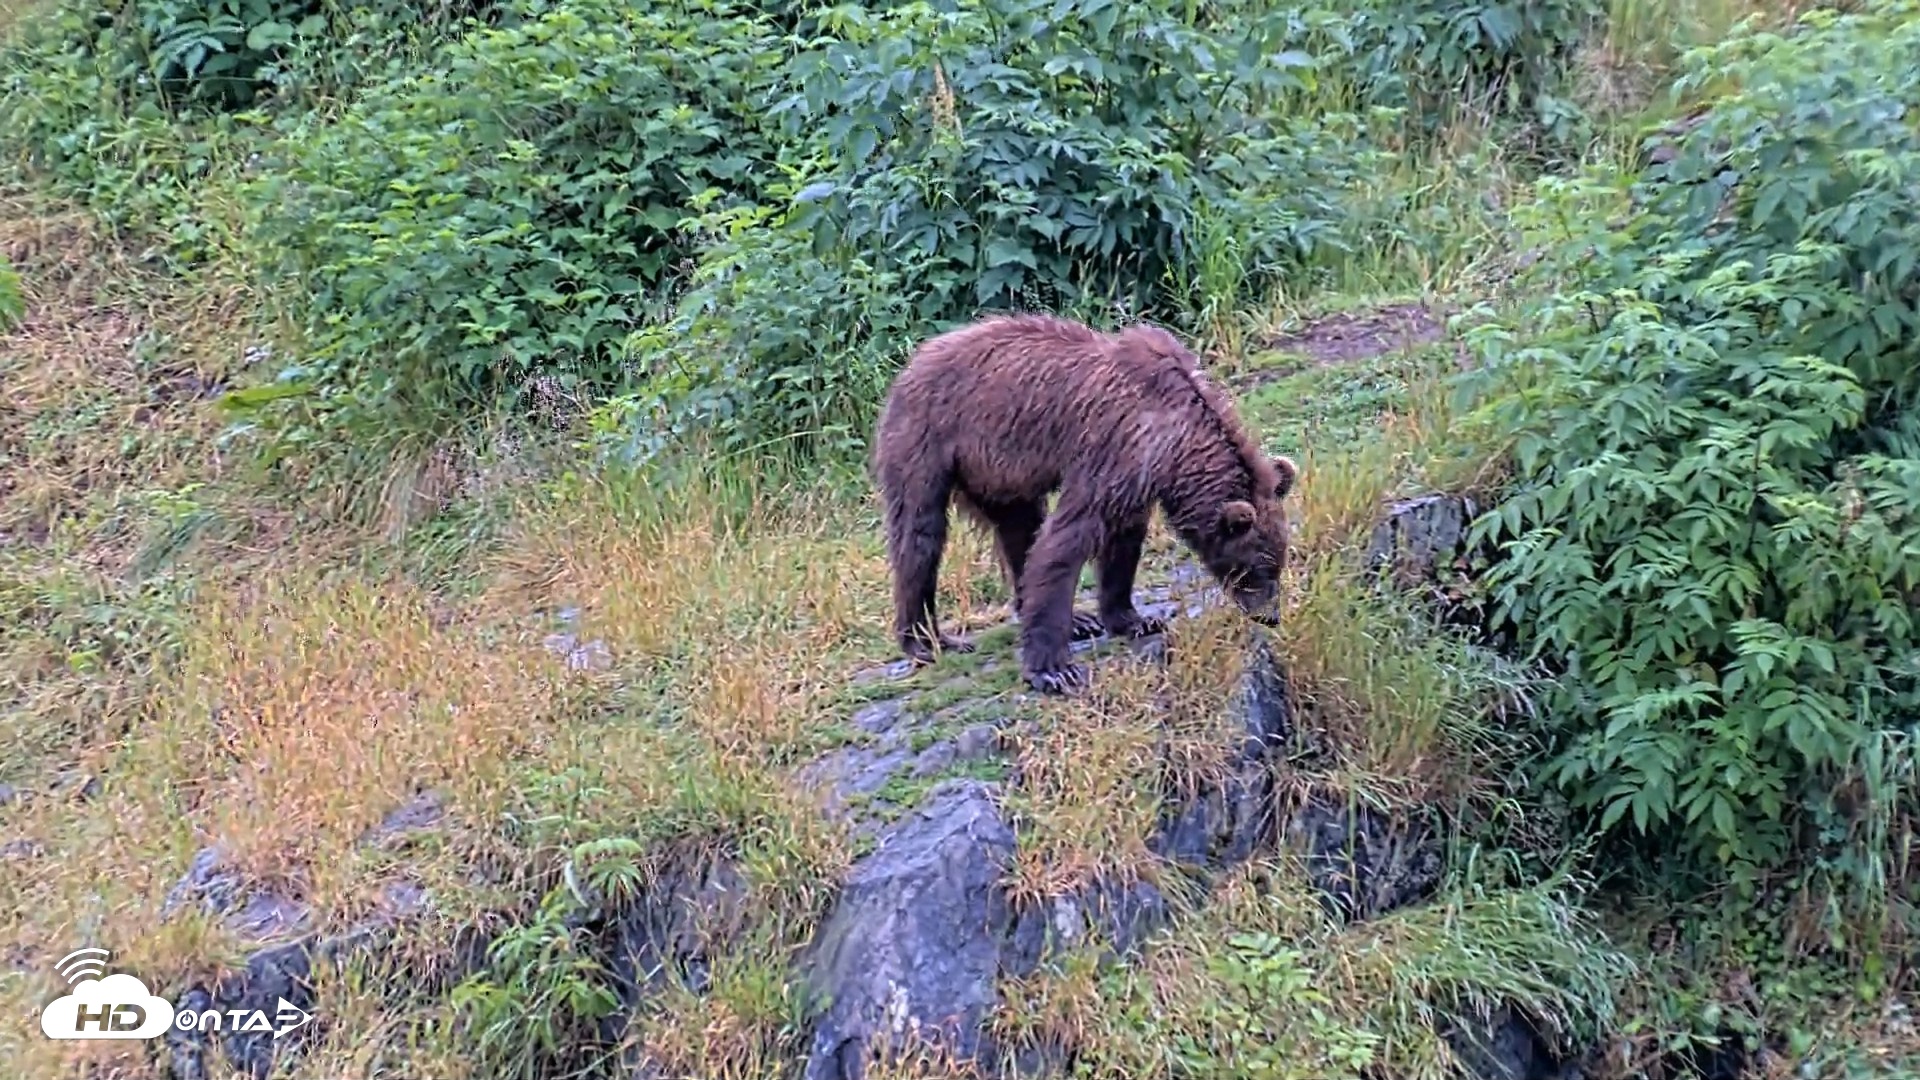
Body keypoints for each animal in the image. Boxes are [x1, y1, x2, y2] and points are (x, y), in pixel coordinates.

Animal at [870, 312, 1299, 695]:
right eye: (1254, 568)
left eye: (1279, 561)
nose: (1271, 616)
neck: (1179, 443)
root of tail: (914, 359)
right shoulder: (1115, 451)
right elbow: (1067, 539)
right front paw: (1054, 671)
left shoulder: (1138, 476)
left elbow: (1122, 544)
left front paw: (1133, 619)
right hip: (928, 440)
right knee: (920, 534)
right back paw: (927, 641)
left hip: (1000, 472)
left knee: (1019, 527)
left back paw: (1077, 620)